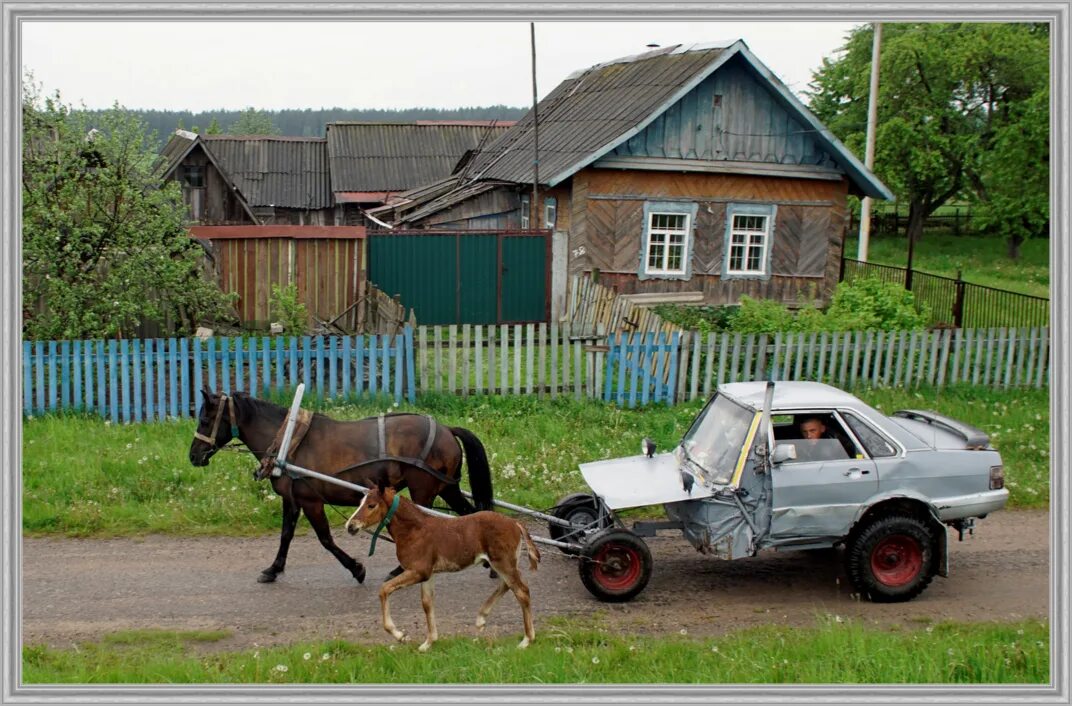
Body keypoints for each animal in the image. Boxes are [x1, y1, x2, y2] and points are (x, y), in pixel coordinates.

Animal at [187, 389, 493, 582]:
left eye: (205, 419)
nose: (193, 456)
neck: (289, 441)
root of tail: (446, 429)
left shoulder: (311, 501)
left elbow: (325, 539)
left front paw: (356, 569)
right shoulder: (292, 499)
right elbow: (285, 535)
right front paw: (273, 570)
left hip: (424, 490)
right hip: (446, 488)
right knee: (471, 514)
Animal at [347, 486, 540, 651]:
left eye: (371, 505)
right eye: (360, 502)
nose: (350, 526)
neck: (414, 530)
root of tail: (515, 522)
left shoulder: (418, 571)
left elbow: (384, 589)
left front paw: (401, 635)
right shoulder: (428, 575)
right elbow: (427, 603)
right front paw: (428, 643)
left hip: (503, 563)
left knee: (521, 591)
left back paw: (527, 640)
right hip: (501, 564)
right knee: (508, 585)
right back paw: (481, 619)